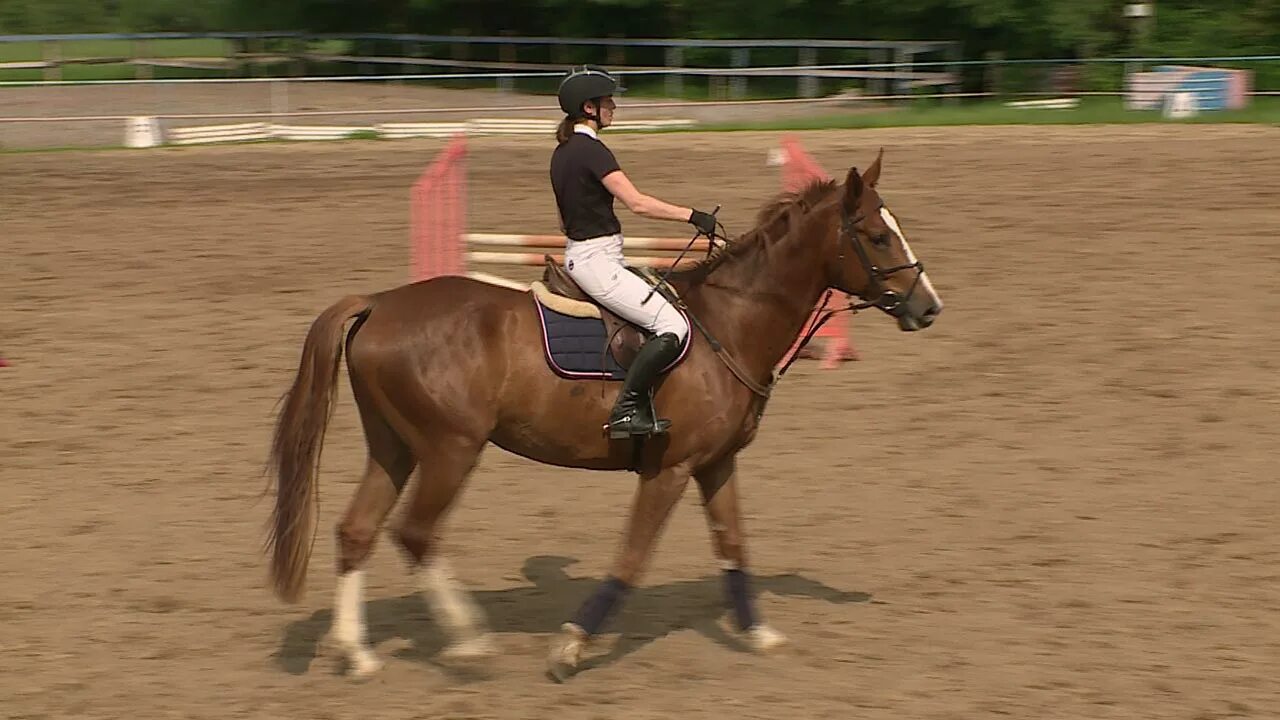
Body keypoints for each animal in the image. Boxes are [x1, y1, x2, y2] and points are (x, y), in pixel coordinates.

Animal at [264, 149, 947, 676]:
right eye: (878, 236)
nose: (928, 306)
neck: (730, 320)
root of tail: (379, 303)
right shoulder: (669, 470)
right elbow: (632, 558)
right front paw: (571, 647)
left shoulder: (716, 463)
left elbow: (733, 545)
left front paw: (758, 633)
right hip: (449, 449)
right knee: (415, 533)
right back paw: (469, 642)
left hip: (396, 447)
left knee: (357, 531)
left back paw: (356, 653)